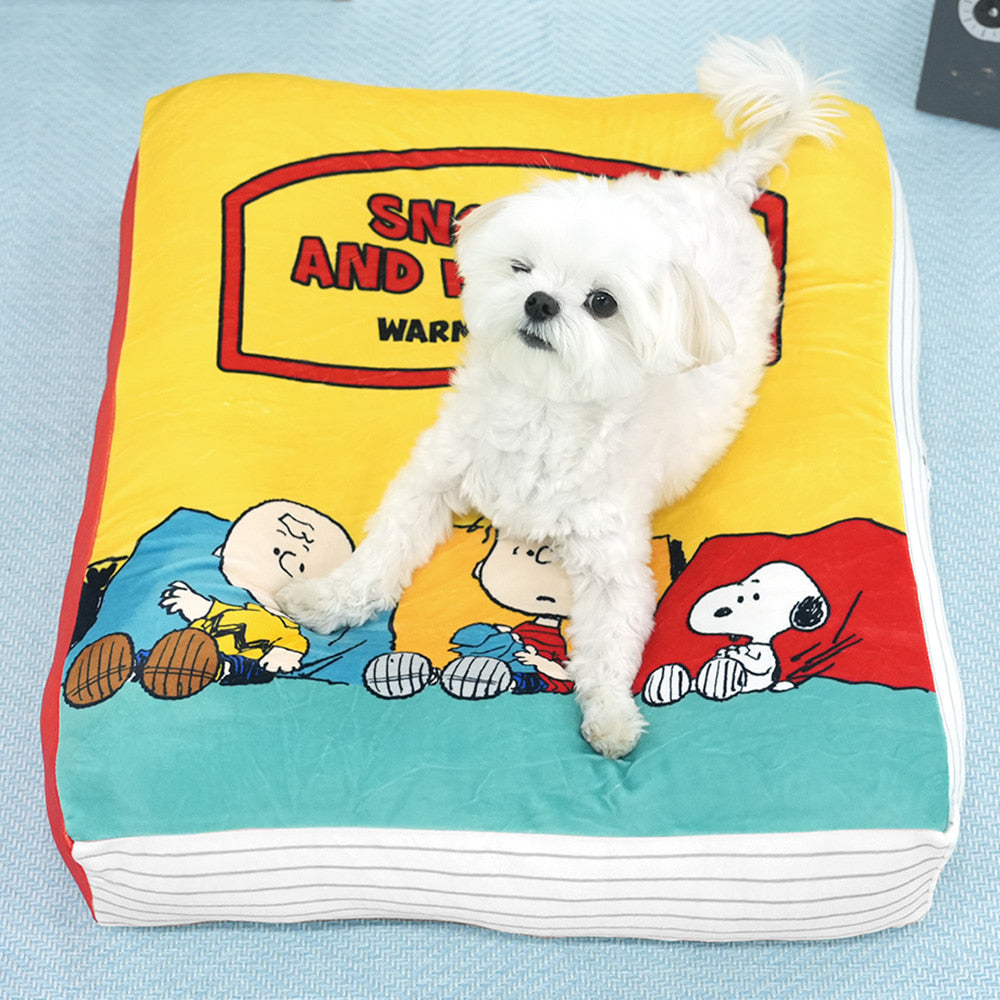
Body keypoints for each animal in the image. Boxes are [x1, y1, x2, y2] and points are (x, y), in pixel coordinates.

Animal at [278, 37, 843, 758]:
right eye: (522, 267)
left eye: (603, 303)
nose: (540, 301)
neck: (541, 411)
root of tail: (721, 189)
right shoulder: (435, 475)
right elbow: (385, 549)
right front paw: (333, 599)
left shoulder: (613, 557)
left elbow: (609, 644)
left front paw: (612, 717)